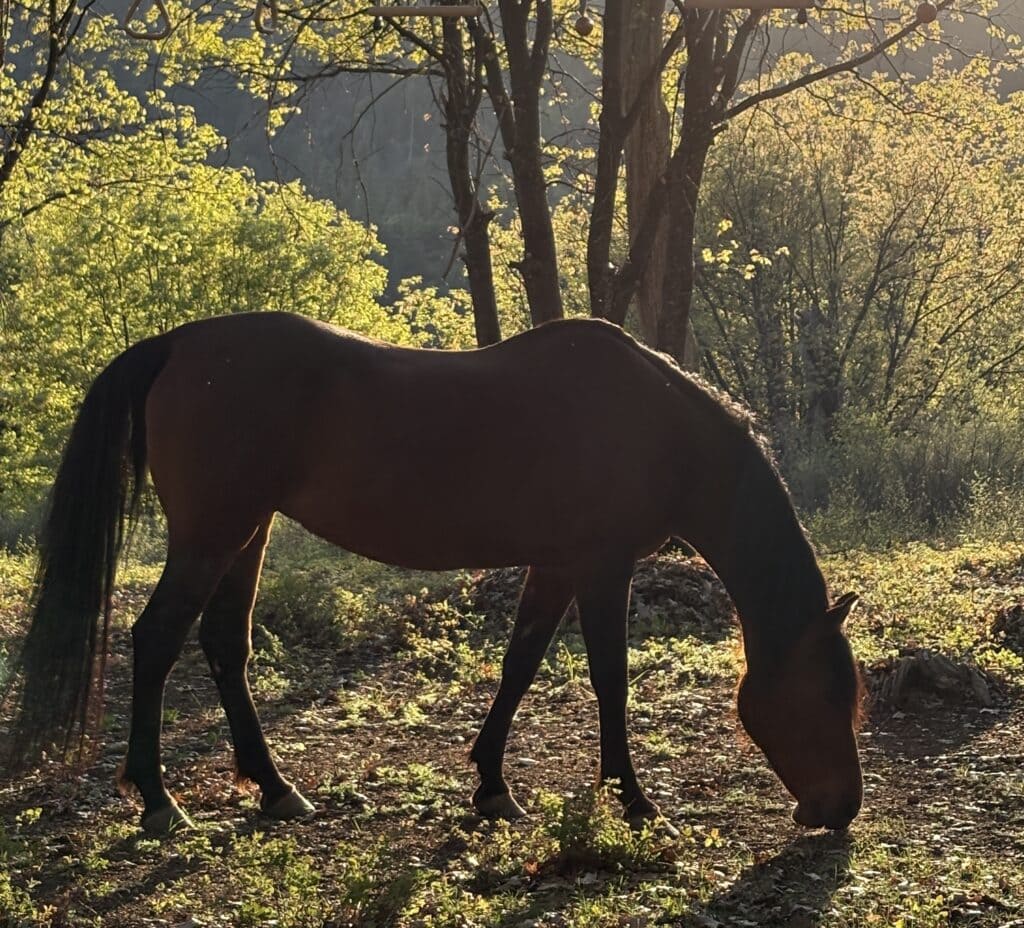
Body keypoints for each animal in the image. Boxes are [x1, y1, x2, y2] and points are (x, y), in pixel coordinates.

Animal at [9, 312, 863, 834]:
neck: (654, 427)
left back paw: (276, 789)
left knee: (224, 645)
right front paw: (633, 799)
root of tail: (180, 344)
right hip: (209, 537)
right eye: (828, 696)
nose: (841, 808)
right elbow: (609, 680)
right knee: (155, 641)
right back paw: (158, 801)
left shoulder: (556, 565)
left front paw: (492, 786)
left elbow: (520, 665)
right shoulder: (600, 566)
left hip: (245, 534)